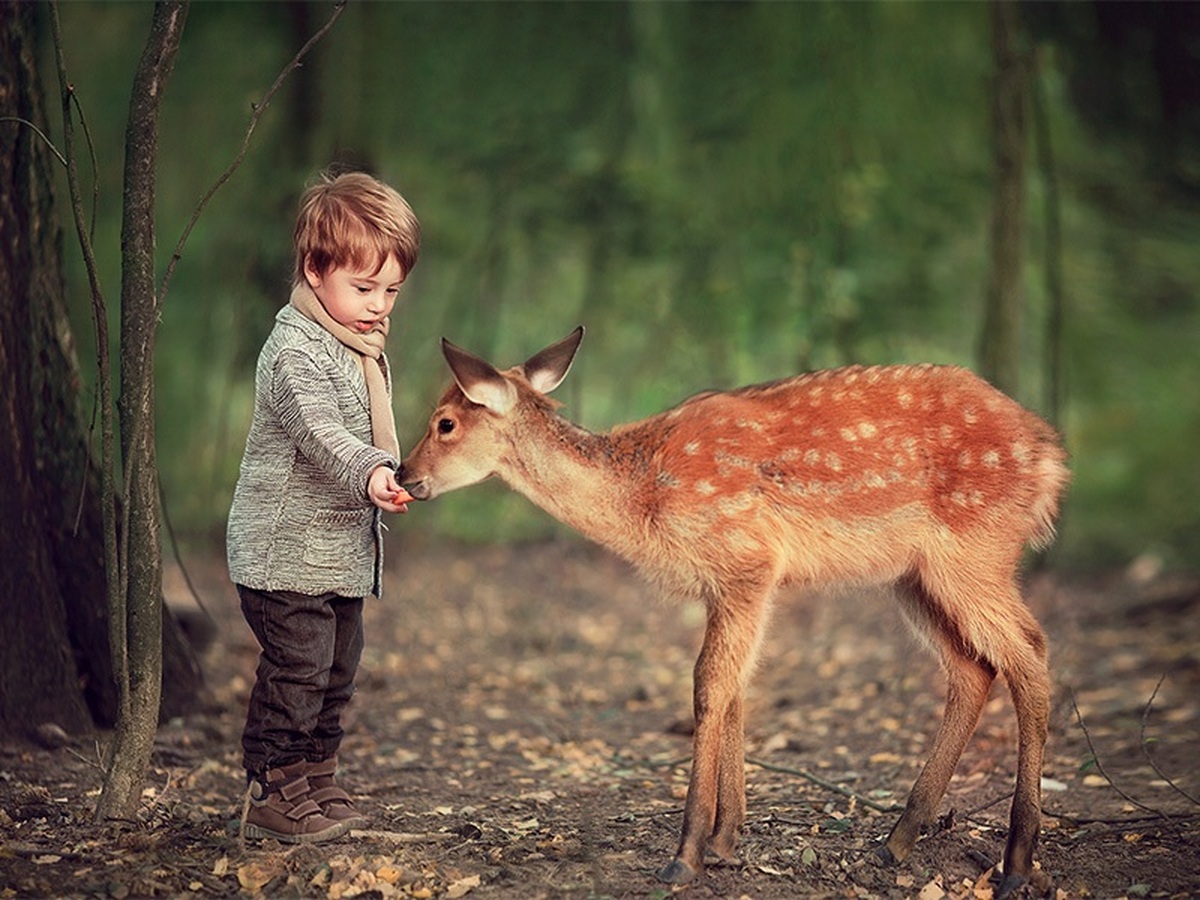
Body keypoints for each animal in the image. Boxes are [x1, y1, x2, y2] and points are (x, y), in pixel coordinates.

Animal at [400, 328, 1070, 897]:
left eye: (445, 423)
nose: (406, 477)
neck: (641, 494)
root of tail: (1051, 457)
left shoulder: (746, 559)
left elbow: (707, 685)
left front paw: (687, 853)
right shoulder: (724, 584)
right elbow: (736, 689)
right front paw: (726, 839)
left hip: (974, 548)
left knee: (1030, 655)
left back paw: (1015, 864)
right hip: (914, 575)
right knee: (973, 668)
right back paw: (896, 842)